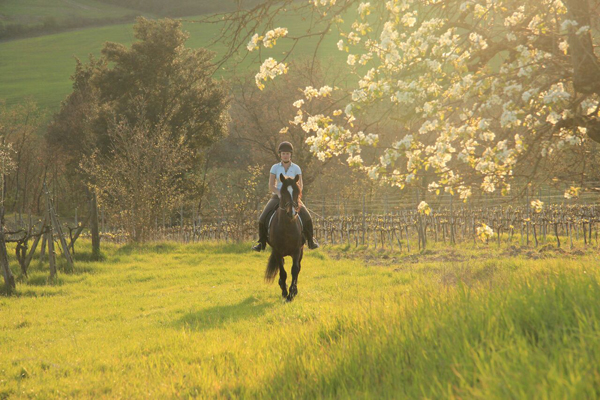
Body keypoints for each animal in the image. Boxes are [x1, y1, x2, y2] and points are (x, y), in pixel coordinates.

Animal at [266, 173, 304, 302]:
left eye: (297, 191)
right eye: (282, 193)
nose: (292, 213)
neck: (287, 226)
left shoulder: (297, 251)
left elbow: (295, 270)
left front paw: (291, 293)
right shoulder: (277, 251)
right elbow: (282, 272)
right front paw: (284, 292)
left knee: (298, 268)